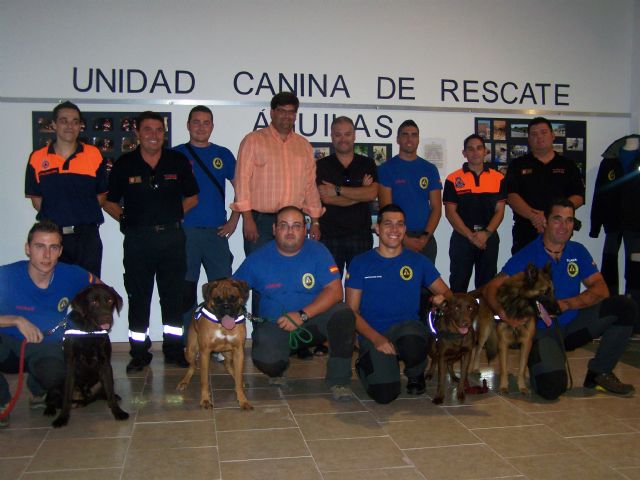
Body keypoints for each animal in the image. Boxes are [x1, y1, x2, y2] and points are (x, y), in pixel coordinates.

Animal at [50, 282, 131, 428]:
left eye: (110, 300)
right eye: (93, 302)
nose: (107, 318)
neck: (89, 331)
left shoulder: (105, 363)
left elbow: (110, 391)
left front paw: (118, 412)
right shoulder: (71, 365)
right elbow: (66, 398)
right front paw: (62, 418)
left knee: (104, 392)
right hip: (57, 383)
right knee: (54, 399)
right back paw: (51, 410)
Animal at [179, 278, 254, 408]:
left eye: (233, 298)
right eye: (217, 299)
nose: (226, 307)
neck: (222, 326)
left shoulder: (239, 351)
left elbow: (239, 377)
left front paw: (242, 399)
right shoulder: (205, 353)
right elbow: (204, 380)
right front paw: (205, 399)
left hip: (229, 353)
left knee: (228, 365)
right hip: (191, 351)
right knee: (193, 366)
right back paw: (184, 381)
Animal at [476, 262, 560, 394]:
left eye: (553, 291)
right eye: (545, 292)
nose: (559, 312)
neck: (519, 306)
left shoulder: (526, 343)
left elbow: (521, 368)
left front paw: (522, 387)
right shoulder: (503, 342)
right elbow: (503, 369)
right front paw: (503, 386)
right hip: (485, 332)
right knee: (477, 350)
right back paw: (473, 369)